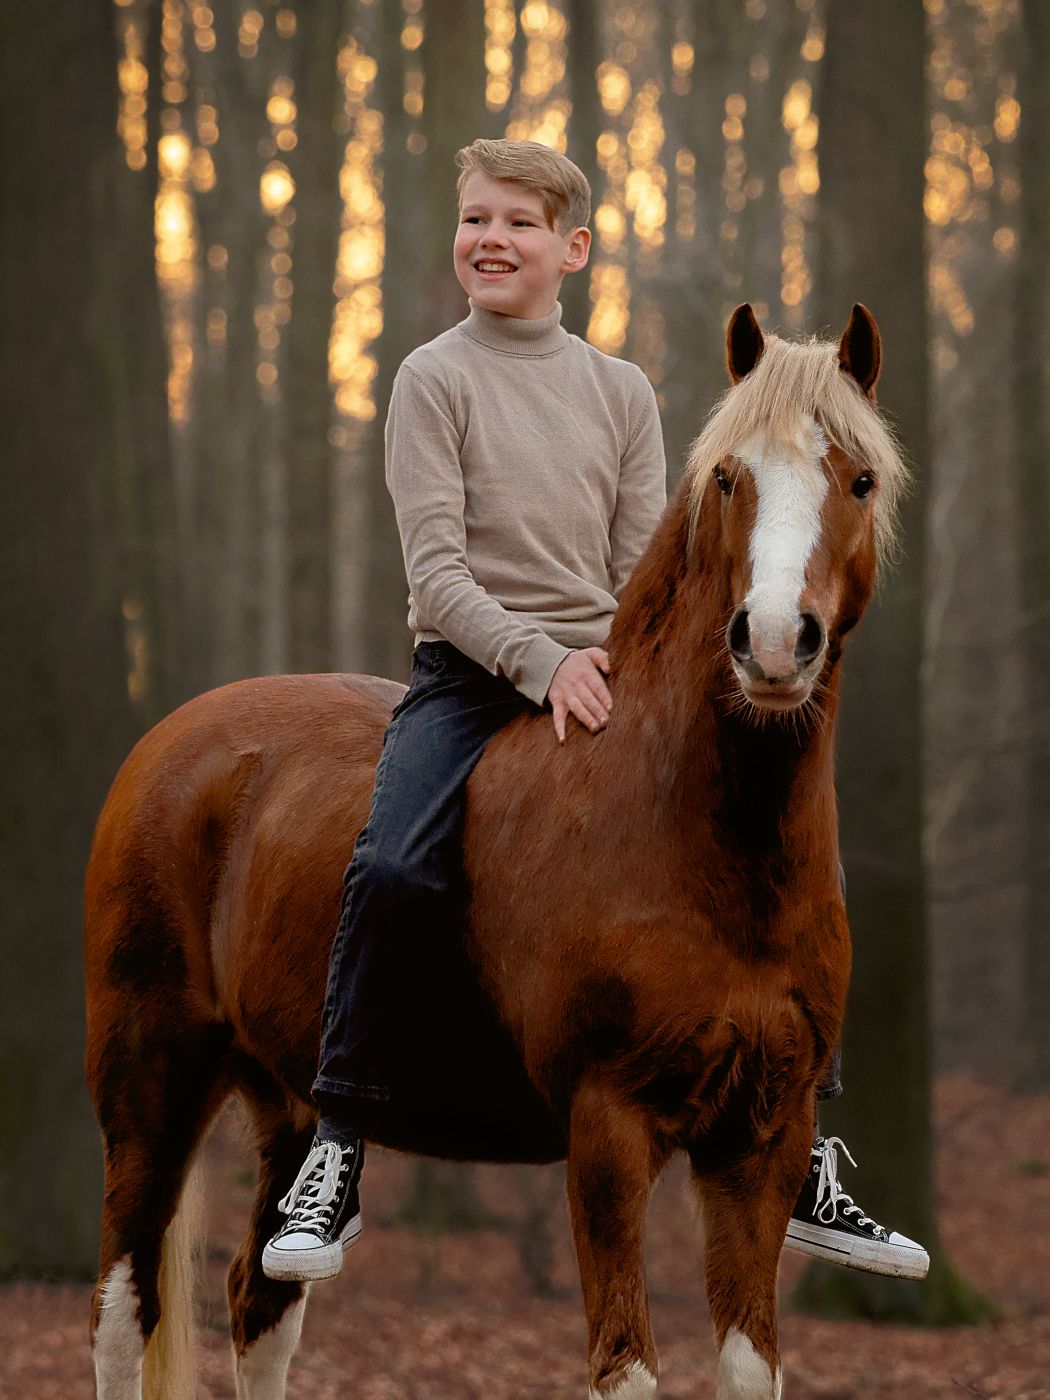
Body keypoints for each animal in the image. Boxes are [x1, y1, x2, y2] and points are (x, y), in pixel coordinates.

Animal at [84, 302, 907, 1400]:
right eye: (731, 479)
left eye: (858, 480)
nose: (774, 643)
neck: (690, 840)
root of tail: (167, 743)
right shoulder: (608, 1130)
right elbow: (626, 1367)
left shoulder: (759, 1141)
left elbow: (747, 1369)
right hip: (151, 1082)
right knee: (121, 1315)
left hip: (282, 1094)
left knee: (260, 1303)